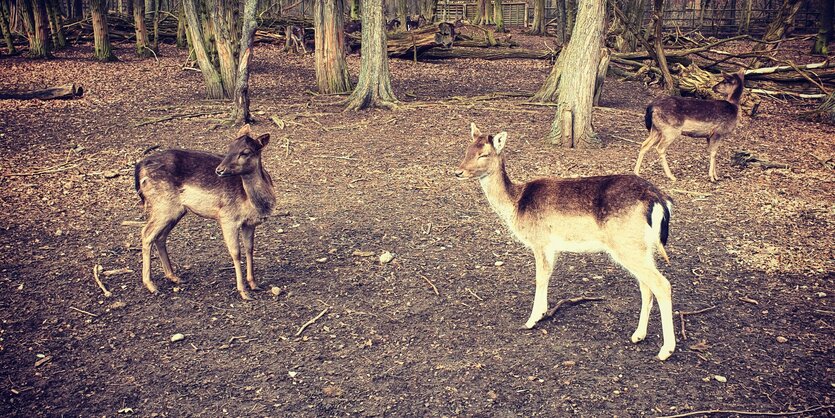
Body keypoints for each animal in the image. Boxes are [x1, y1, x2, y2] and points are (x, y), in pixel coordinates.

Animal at [134, 124, 276, 300]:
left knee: (160, 236)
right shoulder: (227, 218)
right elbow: (236, 252)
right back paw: (151, 285)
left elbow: (250, 249)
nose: (220, 170)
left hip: (176, 210)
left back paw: (174, 277)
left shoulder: (249, 223)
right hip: (162, 205)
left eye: (245, 152)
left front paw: (254, 284)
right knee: (146, 233)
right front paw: (243, 291)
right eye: (229, 147)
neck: (253, 204)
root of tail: (139, 167)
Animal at [458, 123, 680, 360]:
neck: (516, 204)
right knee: (646, 285)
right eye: (467, 149)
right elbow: (547, 276)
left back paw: (666, 350)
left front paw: (531, 320)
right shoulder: (552, 247)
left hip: (627, 245)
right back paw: (638, 335)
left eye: (484, 154)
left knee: (662, 284)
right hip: (642, 247)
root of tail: (659, 199)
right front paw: (542, 313)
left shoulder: (540, 241)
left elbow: (540, 277)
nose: (458, 171)